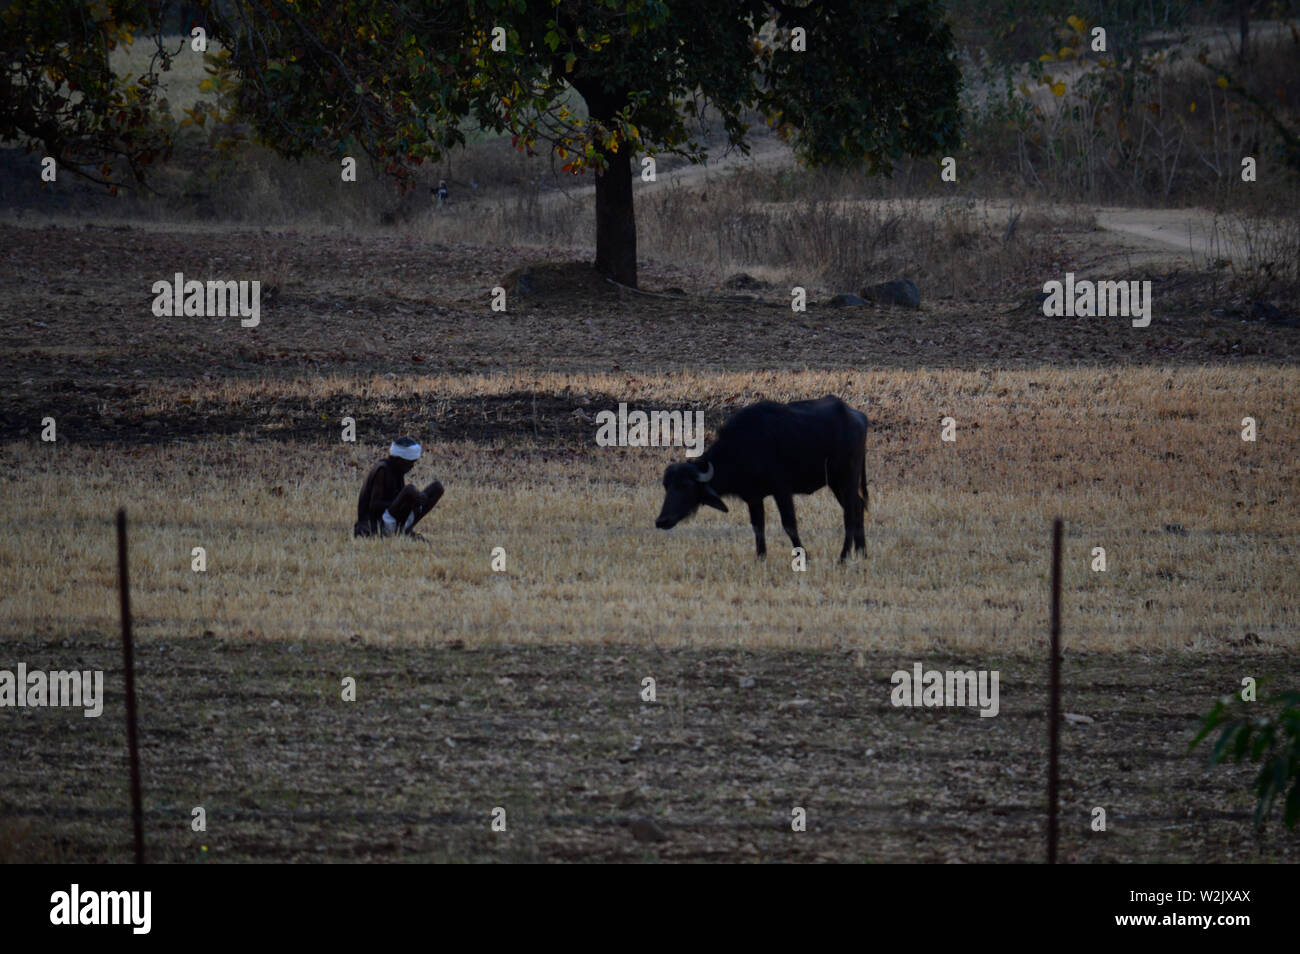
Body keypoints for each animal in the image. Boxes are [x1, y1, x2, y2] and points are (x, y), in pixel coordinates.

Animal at [655, 395, 868, 561]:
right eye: (666, 486)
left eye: (685, 485)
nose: (661, 521)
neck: (742, 448)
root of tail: (857, 416)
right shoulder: (753, 497)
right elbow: (758, 526)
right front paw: (760, 557)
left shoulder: (782, 491)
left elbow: (789, 524)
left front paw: (803, 555)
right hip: (836, 483)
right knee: (858, 506)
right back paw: (861, 551)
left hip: (846, 478)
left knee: (850, 512)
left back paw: (843, 556)